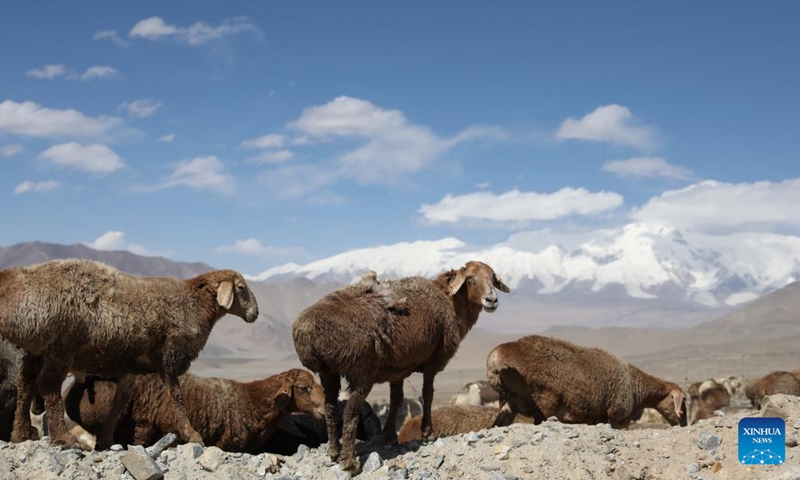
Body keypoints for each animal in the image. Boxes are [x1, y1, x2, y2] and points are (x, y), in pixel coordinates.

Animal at [0, 260, 260, 448]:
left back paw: (21, 434)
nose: (255, 313)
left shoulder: (130, 365)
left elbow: (120, 401)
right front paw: (192, 435)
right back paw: (63, 438)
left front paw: (106, 440)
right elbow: (176, 397)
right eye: (240, 288)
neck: (194, 302)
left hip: (37, 351)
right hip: (61, 345)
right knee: (49, 386)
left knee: (25, 383)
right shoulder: (170, 355)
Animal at [290, 260, 510, 470]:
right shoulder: (432, 362)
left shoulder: (398, 368)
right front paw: (428, 433)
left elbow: (396, 399)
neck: (449, 300)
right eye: (471, 278)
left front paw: (389, 436)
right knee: (350, 413)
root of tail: (308, 330)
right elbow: (427, 394)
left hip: (327, 373)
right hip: (361, 371)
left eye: (492, 277)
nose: (492, 299)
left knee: (329, 408)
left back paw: (334, 452)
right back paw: (348, 462)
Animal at [488, 336, 688, 430]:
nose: (683, 424)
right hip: (545, 400)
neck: (635, 387)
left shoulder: (597, 419)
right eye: (682, 402)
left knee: (498, 423)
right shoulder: (617, 417)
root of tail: (495, 357)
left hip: (510, 401)